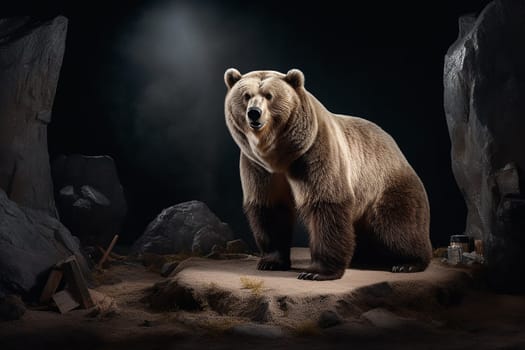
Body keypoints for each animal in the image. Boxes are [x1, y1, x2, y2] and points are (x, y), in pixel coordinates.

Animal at [223, 69, 432, 282]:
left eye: (269, 95)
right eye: (246, 95)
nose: (254, 113)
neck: (279, 154)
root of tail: (395, 147)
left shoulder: (314, 152)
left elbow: (325, 203)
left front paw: (315, 272)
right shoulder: (259, 167)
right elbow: (270, 208)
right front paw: (271, 261)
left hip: (384, 183)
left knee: (397, 224)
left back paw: (408, 263)